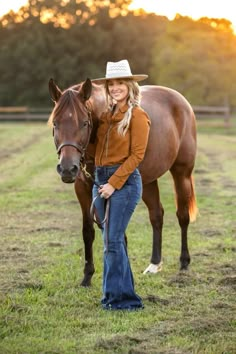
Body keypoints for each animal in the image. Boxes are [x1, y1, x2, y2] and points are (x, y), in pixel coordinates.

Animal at [48, 79, 197, 286]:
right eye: (55, 123)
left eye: (85, 123)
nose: (68, 169)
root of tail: (182, 102)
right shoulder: (83, 189)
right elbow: (88, 231)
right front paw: (87, 276)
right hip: (148, 182)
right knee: (156, 215)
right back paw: (154, 264)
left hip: (182, 173)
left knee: (182, 216)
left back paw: (184, 262)